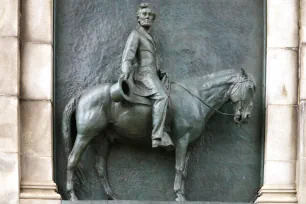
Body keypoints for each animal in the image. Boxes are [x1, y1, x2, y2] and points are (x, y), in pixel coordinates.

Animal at [62, 68, 256, 201]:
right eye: (250, 88)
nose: (246, 117)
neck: (196, 97)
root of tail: (82, 94)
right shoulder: (182, 140)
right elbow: (179, 167)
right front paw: (178, 195)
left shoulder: (190, 145)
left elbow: (185, 170)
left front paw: (182, 194)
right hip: (85, 135)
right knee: (72, 160)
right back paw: (73, 196)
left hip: (103, 139)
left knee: (100, 167)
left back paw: (112, 197)